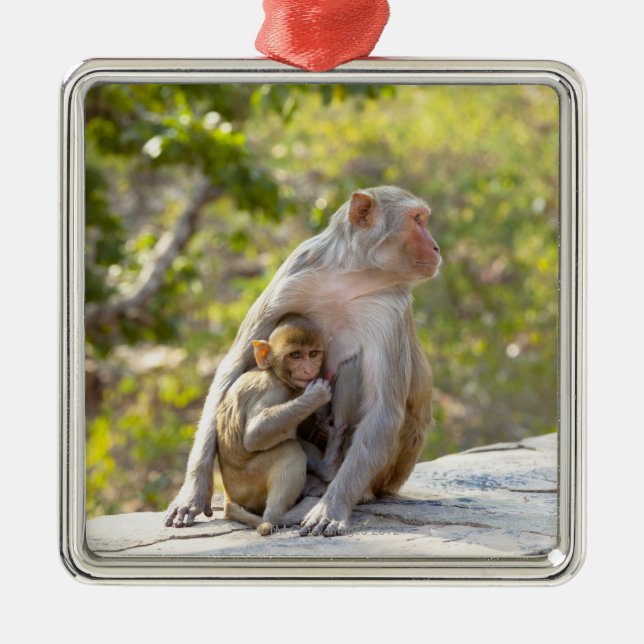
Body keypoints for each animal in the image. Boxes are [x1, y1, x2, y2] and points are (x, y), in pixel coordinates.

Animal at [216, 315, 346, 535]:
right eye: (295, 355)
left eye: (313, 354)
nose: (308, 370)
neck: (277, 376)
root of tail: (229, 496)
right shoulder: (273, 392)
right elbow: (254, 434)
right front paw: (316, 396)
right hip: (250, 482)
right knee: (289, 449)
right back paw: (281, 515)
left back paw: (327, 467)